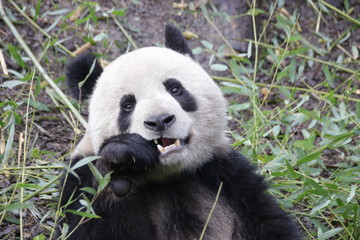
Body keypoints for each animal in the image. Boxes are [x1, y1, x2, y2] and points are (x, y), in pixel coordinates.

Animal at [59, 23, 300, 240]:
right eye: (127, 105)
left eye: (175, 89)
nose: (159, 121)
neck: (168, 175)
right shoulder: (80, 177)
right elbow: (92, 222)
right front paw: (122, 160)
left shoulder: (227, 177)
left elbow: (267, 223)